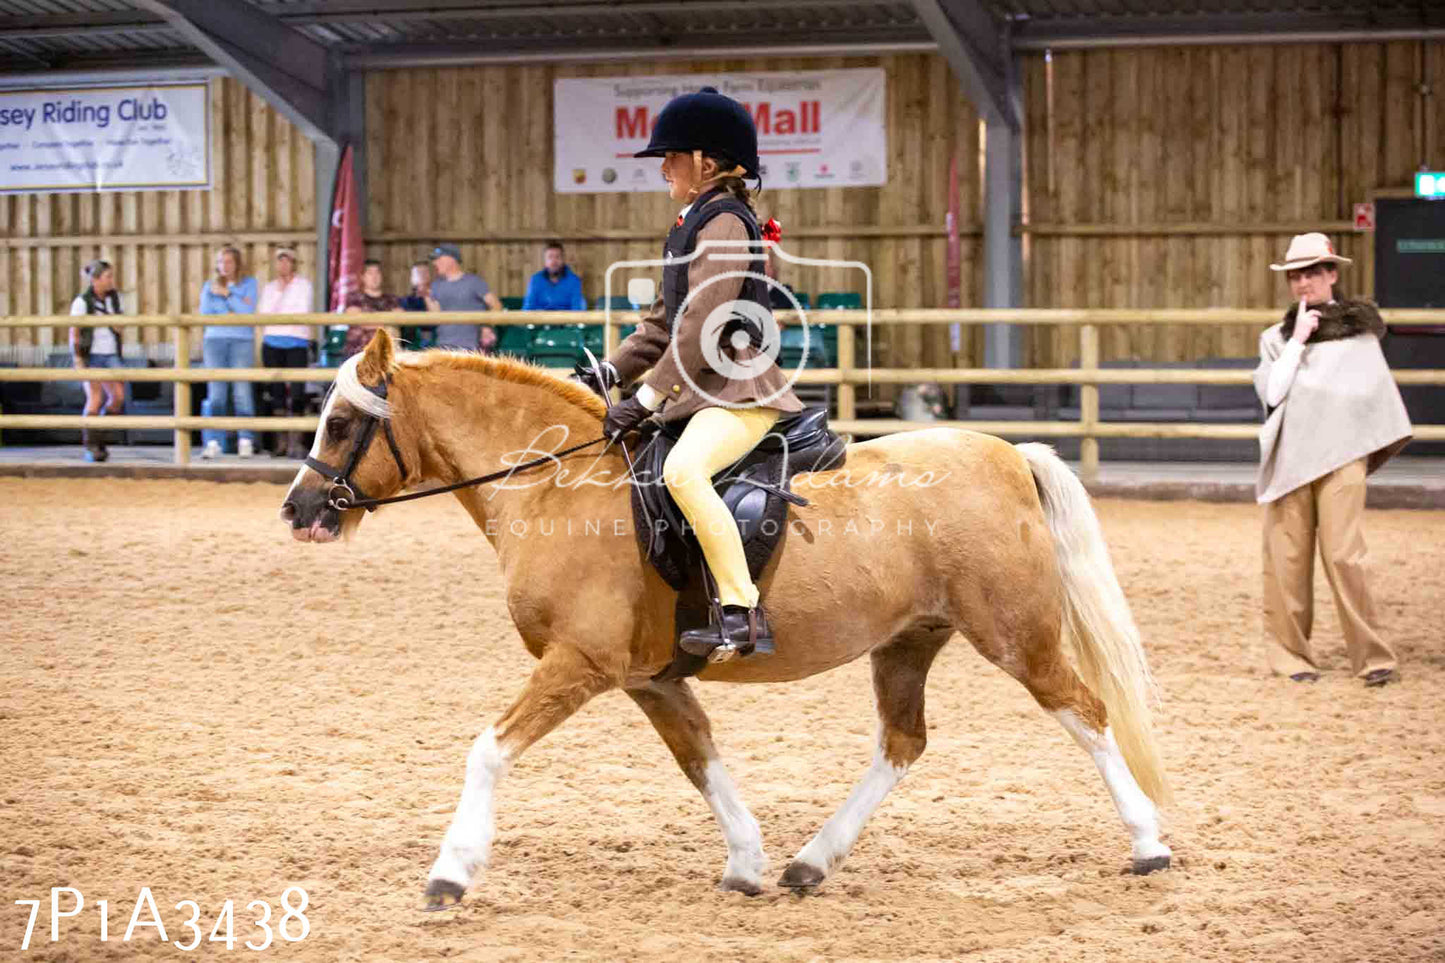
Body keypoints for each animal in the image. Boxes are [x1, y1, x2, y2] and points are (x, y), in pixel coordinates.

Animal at [281, 328, 1173, 902]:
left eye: (340, 421)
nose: (298, 510)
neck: (555, 487)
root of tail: (1005, 453)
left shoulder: (580, 663)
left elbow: (488, 750)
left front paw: (452, 869)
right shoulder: (648, 678)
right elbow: (700, 759)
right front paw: (745, 861)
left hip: (1015, 636)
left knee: (1085, 713)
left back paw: (1148, 843)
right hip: (907, 640)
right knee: (902, 742)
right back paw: (811, 861)